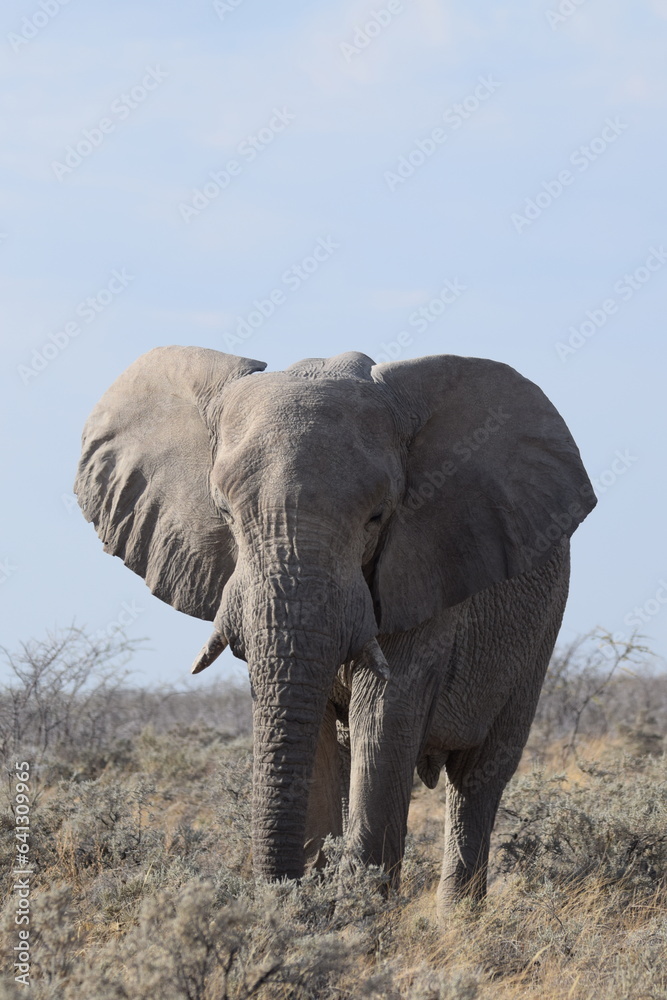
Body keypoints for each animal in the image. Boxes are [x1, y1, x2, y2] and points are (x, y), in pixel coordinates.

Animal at [75, 346, 596, 916]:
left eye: (377, 517)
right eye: (226, 514)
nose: (278, 895)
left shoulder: (424, 568)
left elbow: (385, 710)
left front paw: (360, 917)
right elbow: (317, 730)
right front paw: (314, 912)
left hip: (538, 634)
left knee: (478, 777)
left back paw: (458, 921)